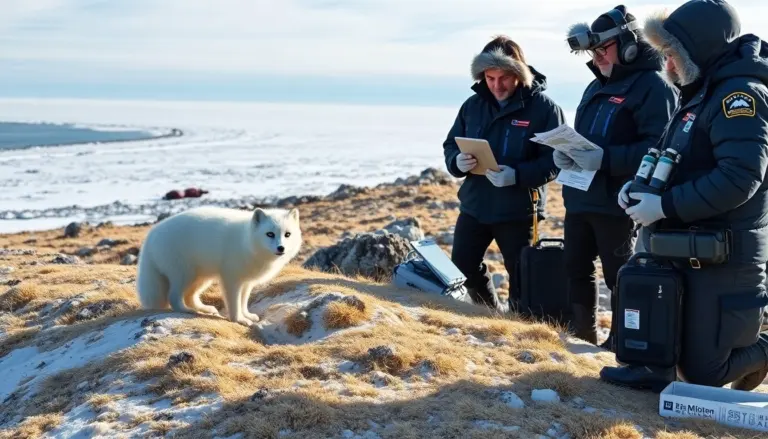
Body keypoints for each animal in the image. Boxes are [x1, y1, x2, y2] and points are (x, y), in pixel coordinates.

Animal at [135, 205, 302, 326]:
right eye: (270, 234)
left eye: (287, 234)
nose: (281, 248)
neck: (246, 241)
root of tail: (151, 235)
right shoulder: (231, 278)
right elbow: (234, 303)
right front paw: (239, 320)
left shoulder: (246, 282)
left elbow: (243, 301)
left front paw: (247, 315)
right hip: (183, 274)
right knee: (174, 297)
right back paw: (187, 311)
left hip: (201, 277)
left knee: (190, 296)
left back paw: (205, 309)